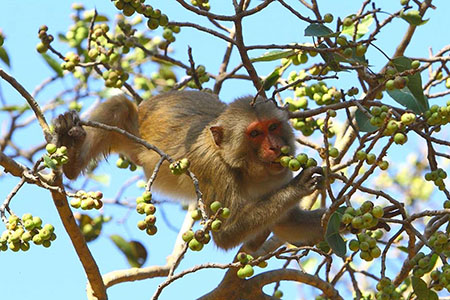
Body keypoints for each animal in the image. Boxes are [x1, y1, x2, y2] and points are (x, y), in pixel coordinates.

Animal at [54, 91, 326, 251]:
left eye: (273, 127)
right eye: (255, 133)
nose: (275, 147)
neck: (247, 169)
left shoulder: (279, 175)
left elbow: (288, 223)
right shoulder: (213, 167)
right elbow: (225, 234)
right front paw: (300, 185)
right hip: (134, 133)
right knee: (120, 103)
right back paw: (71, 160)